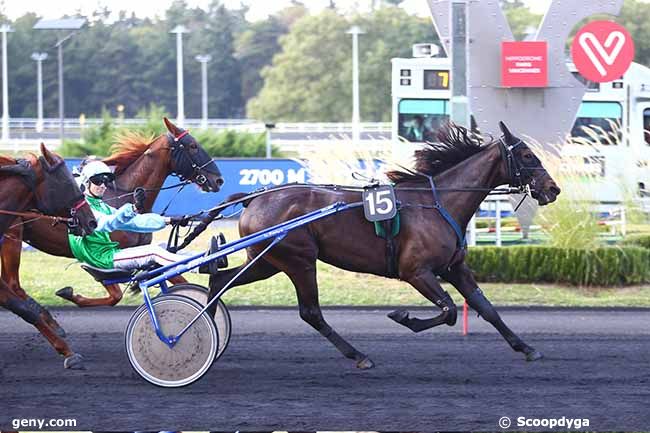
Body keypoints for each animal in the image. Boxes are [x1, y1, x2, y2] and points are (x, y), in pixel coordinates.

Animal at [210, 122, 560, 368]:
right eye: (527, 155)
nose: (553, 188)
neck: (437, 203)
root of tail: (255, 198)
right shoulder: (416, 272)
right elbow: (448, 310)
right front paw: (403, 317)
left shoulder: (455, 268)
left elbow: (486, 309)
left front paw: (527, 348)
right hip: (299, 261)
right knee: (310, 312)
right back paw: (359, 355)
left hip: (267, 261)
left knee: (219, 280)